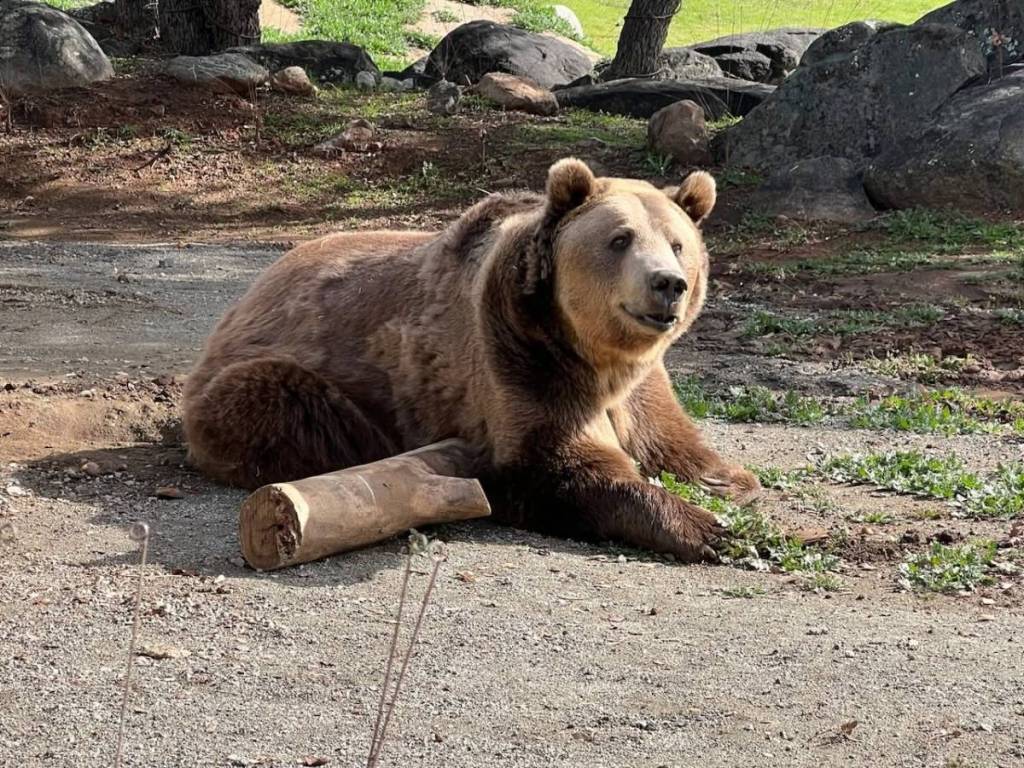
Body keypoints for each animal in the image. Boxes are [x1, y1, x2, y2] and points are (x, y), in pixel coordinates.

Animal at [182, 158, 761, 562]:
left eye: (678, 243)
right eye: (620, 238)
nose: (668, 284)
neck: (597, 356)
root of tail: (252, 289)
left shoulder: (641, 388)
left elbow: (674, 444)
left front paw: (731, 485)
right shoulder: (519, 355)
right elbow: (561, 467)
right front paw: (711, 531)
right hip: (273, 377)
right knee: (291, 408)